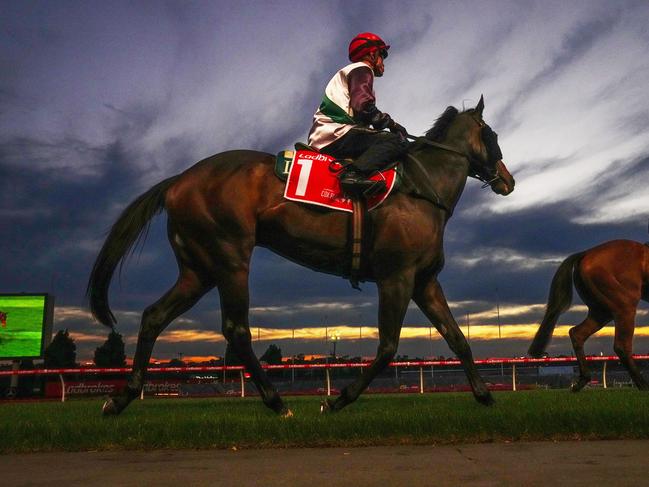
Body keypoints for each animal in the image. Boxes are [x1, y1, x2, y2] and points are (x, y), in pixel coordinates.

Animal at [86, 97, 512, 418]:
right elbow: (388, 347)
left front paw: (485, 396)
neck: (421, 189)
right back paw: (277, 403)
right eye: (490, 134)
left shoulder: (424, 281)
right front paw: (337, 400)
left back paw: (120, 398)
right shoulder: (397, 277)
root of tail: (179, 179)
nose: (508, 180)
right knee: (236, 329)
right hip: (229, 257)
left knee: (154, 316)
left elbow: (458, 340)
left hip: (199, 268)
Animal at [528, 240, 644, 392]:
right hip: (624, 306)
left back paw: (582, 381)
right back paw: (643, 385)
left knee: (577, 333)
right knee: (622, 345)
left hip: (600, 310)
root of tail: (585, 254)